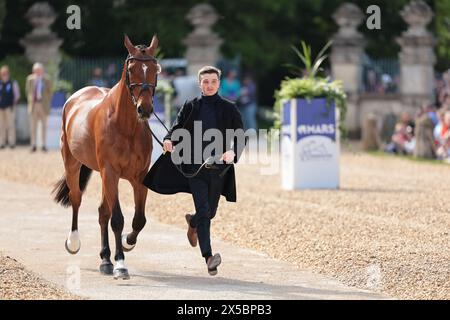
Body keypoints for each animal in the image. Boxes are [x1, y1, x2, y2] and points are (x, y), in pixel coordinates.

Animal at [52, 35, 161, 280]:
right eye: (131, 69)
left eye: (155, 69)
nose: (145, 109)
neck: (126, 126)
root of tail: (75, 96)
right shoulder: (110, 172)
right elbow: (118, 219)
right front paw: (121, 264)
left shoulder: (139, 177)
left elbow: (139, 219)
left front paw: (127, 243)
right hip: (73, 164)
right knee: (76, 198)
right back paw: (74, 242)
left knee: (103, 212)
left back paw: (105, 260)